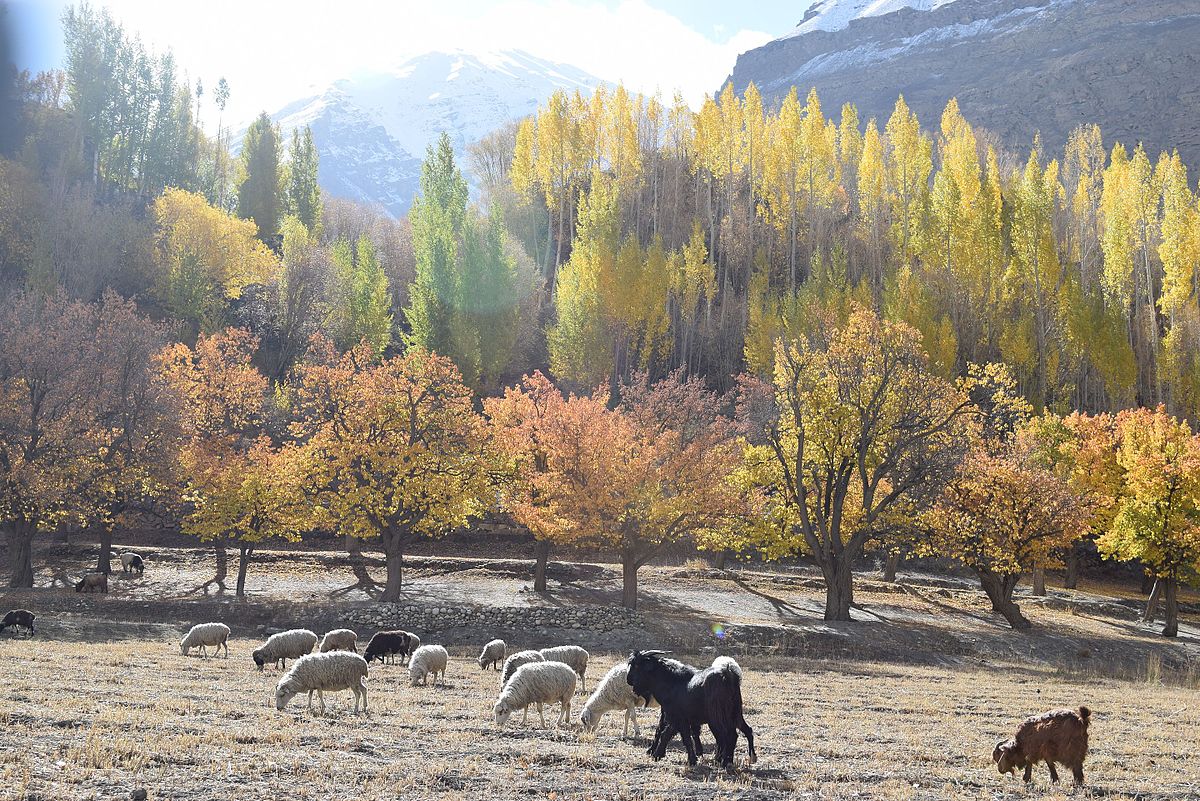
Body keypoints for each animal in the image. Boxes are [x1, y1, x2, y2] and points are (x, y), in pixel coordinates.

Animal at [624, 652, 753, 767]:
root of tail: (727, 675)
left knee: (728, 735)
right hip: (735, 714)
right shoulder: (680, 719)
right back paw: (736, 759)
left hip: (718, 717)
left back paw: (725, 761)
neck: (673, 683)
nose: (628, 679)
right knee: (742, 731)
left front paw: (658, 755)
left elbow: (667, 734)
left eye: (637, 666)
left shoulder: (676, 717)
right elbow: (682, 736)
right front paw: (693, 759)